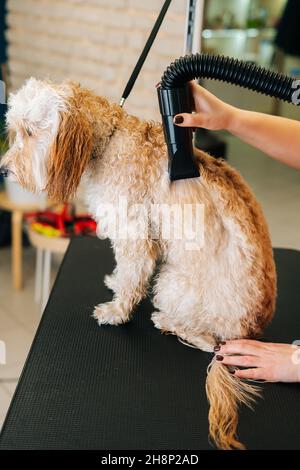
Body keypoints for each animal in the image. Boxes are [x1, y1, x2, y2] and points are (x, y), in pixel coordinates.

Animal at [0, 79, 276, 450]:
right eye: (14, 130)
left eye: (29, 132)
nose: (3, 170)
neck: (110, 140)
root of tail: (248, 331)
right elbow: (123, 272)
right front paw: (115, 284)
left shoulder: (134, 235)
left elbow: (133, 276)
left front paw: (117, 312)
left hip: (172, 284)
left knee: (206, 341)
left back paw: (167, 321)